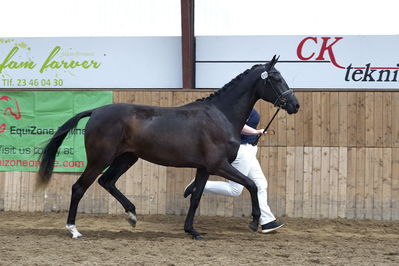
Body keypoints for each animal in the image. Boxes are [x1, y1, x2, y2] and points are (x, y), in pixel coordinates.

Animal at [37, 55, 300, 239]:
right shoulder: (219, 165)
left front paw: (192, 231)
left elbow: (196, 197)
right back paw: (73, 229)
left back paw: (132, 215)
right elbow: (252, 185)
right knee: (79, 188)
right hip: (99, 159)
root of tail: (96, 111)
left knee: (107, 181)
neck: (220, 115)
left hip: (126, 158)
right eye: (276, 78)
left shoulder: (204, 168)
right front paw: (254, 223)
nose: (294, 105)